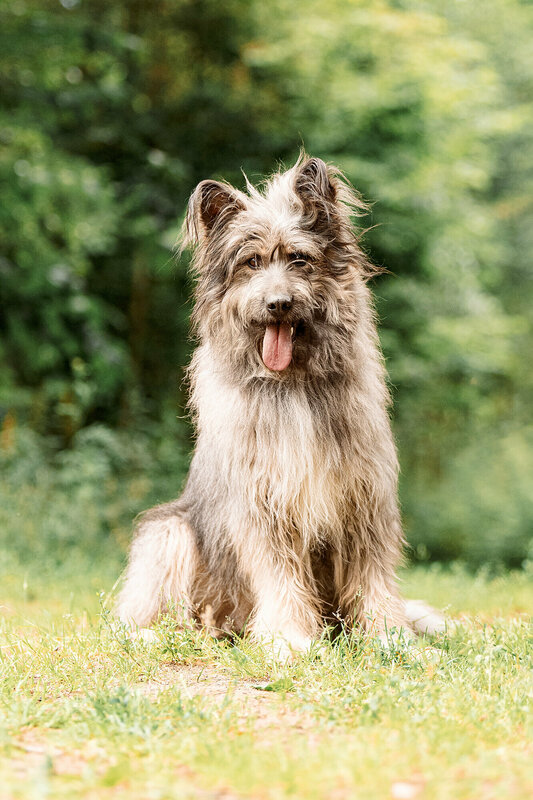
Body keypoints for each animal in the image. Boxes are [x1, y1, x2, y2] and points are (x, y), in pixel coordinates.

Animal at [117, 155, 444, 654]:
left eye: (299, 259)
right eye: (251, 262)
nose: (278, 304)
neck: (293, 385)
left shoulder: (364, 499)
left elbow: (373, 575)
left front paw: (388, 635)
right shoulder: (264, 505)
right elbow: (279, 576)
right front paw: (290, 640)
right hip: (168, 532)